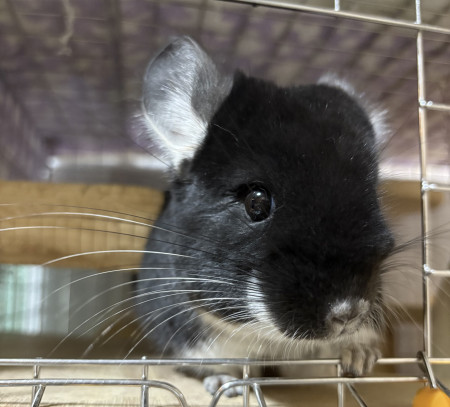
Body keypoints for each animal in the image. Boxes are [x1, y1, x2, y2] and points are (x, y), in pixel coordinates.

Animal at [134, 36, 394, 396]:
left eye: (373, 196)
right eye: (256, 201)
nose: (348, 313)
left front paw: (359, 356)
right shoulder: (193, 341)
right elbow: (220, 365)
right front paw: (226, 385)